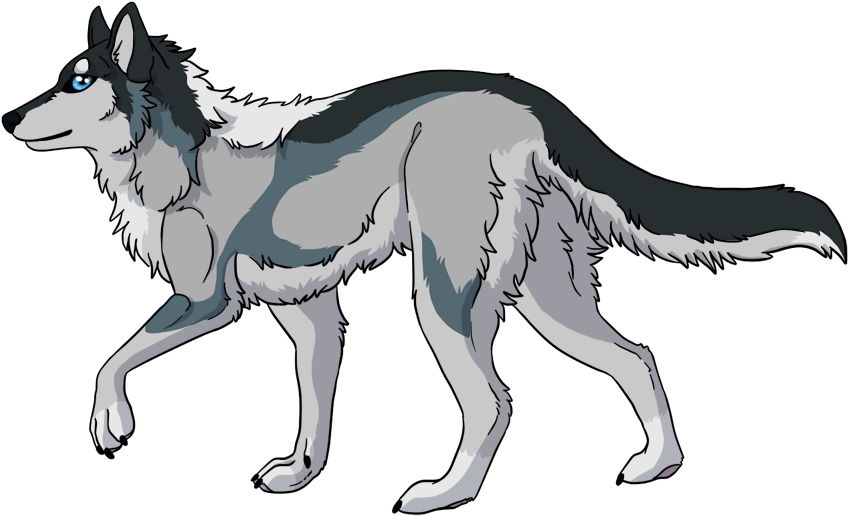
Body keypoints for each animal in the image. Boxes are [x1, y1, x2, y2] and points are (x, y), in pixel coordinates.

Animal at [4, 4, 843, 512]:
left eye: (79, 81)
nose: (9, 118)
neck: (182, 151)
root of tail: (527, 100)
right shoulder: (310, 317)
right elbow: (313, 410)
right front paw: (300, 475)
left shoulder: (207, 302)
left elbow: (114, 356)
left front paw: (110, 421)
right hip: (548, 296)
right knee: (637, 356)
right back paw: (656, 465)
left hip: (443, 294)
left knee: (494, 402)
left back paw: (447, 494)